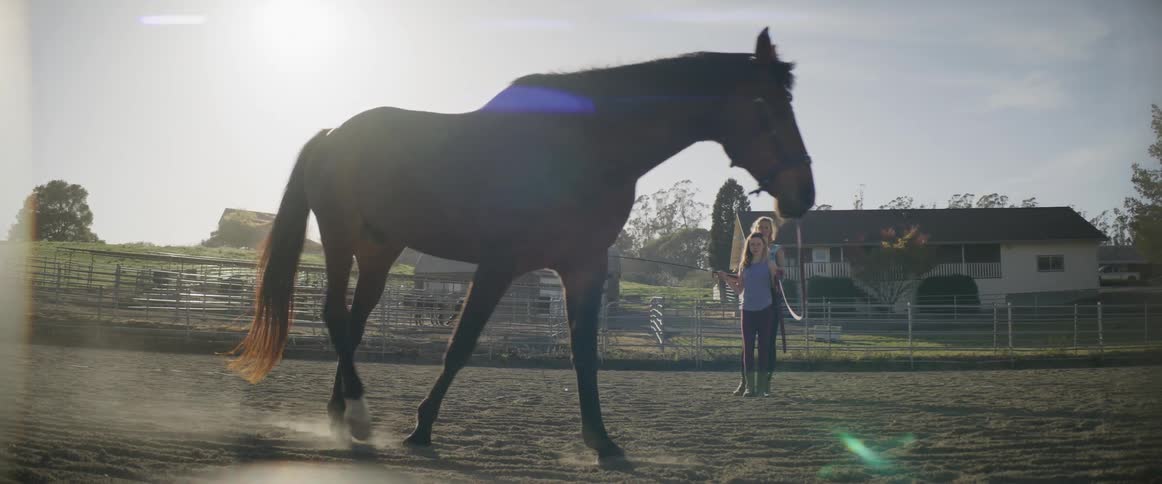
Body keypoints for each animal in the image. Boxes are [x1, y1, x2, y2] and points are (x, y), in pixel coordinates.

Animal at [226, 27, 814, 465]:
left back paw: (341, 414)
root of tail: (332, 136)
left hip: (378, 251)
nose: (802, 195)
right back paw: (361, 420)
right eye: (764, 104)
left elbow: (583, 353)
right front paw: (421, 427)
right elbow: (461, 344)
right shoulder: (499, 264)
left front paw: (602, 441)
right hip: (342, 241)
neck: (589, 144)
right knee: (335, 317)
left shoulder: (582, 267)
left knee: (352, 321)